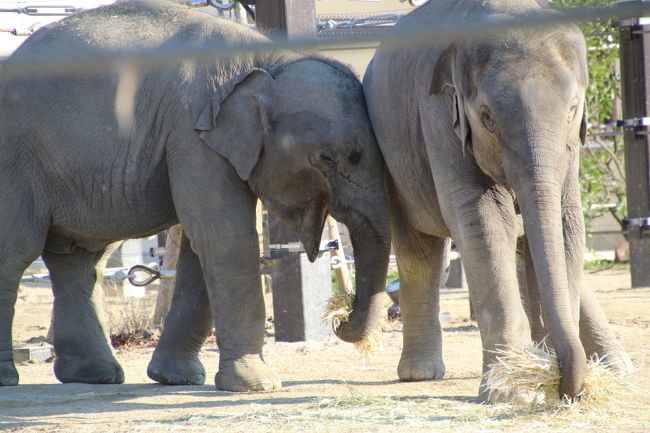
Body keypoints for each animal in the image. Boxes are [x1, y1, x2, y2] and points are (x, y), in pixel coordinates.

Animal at [0, 0, 390, 390]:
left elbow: (202, 247)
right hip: (15, 162)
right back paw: (12, 378)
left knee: (82, 260)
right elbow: (226, 238)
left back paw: (95, 376)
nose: (340, 317)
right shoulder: (191, 135)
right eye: (326, 157)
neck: (268, 59)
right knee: (17, 252)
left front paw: (178, 378)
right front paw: (258, 384)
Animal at [362, 0, 632, 400]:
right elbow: (486, 220)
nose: (565, 386)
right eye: (487, 117)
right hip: (391, 162)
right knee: (419, 253)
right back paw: (419, 373)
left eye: (572, 109)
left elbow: (566, 222)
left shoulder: (570, 149)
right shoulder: (439, 116)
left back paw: (617, 368)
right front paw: (510, 390)